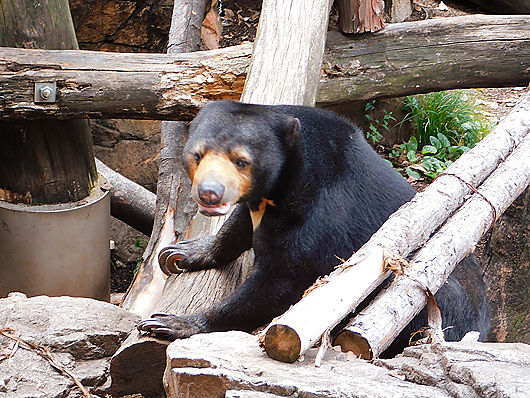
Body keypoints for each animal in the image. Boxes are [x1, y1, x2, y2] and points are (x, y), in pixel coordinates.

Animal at [136, 100, 486, 354]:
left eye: (241, 160)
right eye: (197, 155)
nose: (210, 192)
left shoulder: (318, 217)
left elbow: (281, 283)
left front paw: (170, 323)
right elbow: (239, 227)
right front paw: (180, 253)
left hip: (440, 298)